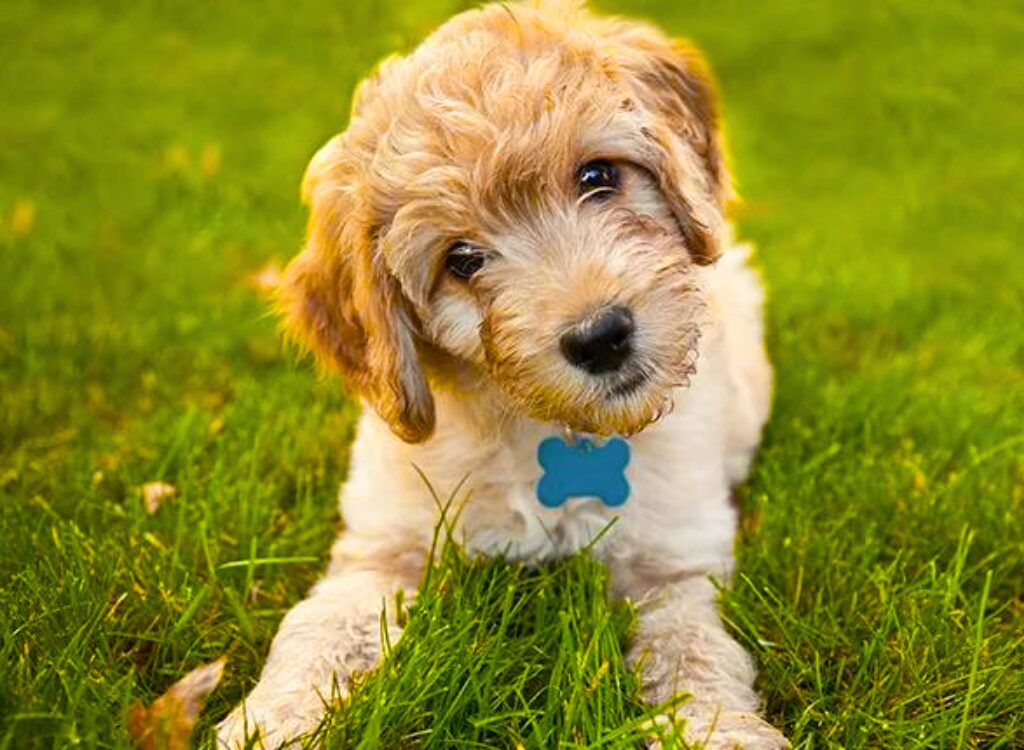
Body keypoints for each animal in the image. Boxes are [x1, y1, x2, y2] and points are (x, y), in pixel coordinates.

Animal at [220, 0, 786, 745]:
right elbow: (322, 624)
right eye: (462, 260)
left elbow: (694, 654)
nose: (601, 337)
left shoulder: (674, 564)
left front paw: (721, 730)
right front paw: (272, 716)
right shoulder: (385, 543)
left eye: (597, 177)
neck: (552, 429)